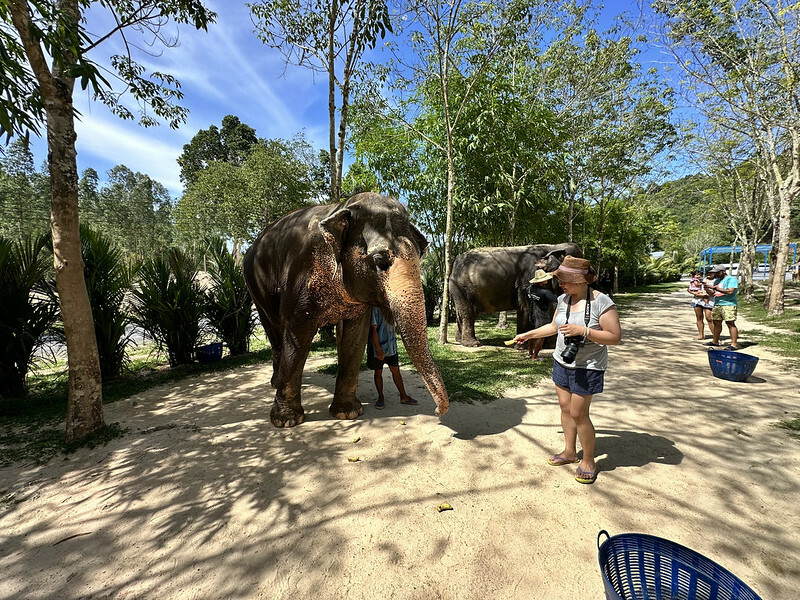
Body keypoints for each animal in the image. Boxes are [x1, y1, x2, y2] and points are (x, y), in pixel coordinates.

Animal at [242, 192, 449, 427]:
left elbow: (355, 334)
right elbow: (298, 333)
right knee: (274, 327)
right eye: (379, 259)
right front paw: (286, 421)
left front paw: (348, 413)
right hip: (255, 283)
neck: (341, 208)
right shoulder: (299, 276)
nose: (437, 411)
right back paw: (275, 383)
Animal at [448, 242, 582, 347]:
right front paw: (523, 345)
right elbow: (525, 304)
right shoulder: (527, 277)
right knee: (467, 313)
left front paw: (548, 344)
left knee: (463, 313)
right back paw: (473, 344)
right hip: (461, 288)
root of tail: (454, 265)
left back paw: (459, 340)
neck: (554, 246)